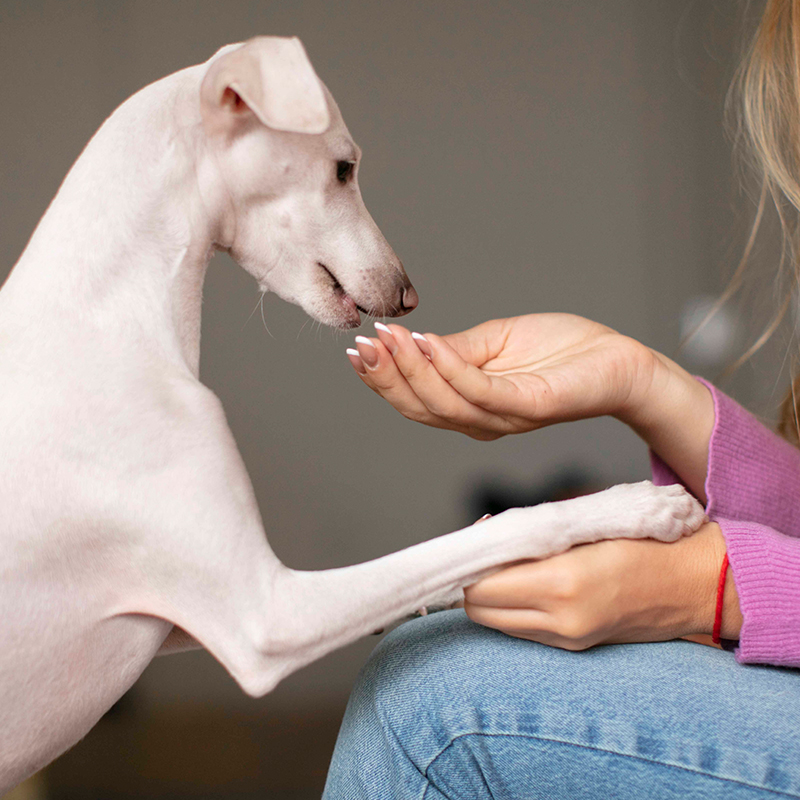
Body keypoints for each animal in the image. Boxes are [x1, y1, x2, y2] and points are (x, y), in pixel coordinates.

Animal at [0, 36, 704, 788]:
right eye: (344, 167)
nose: (408, 296)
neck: (101, 313)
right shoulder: (266, 619)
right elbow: (496, 531)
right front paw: (635, 505)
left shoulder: (190, 624)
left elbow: (442, 561)